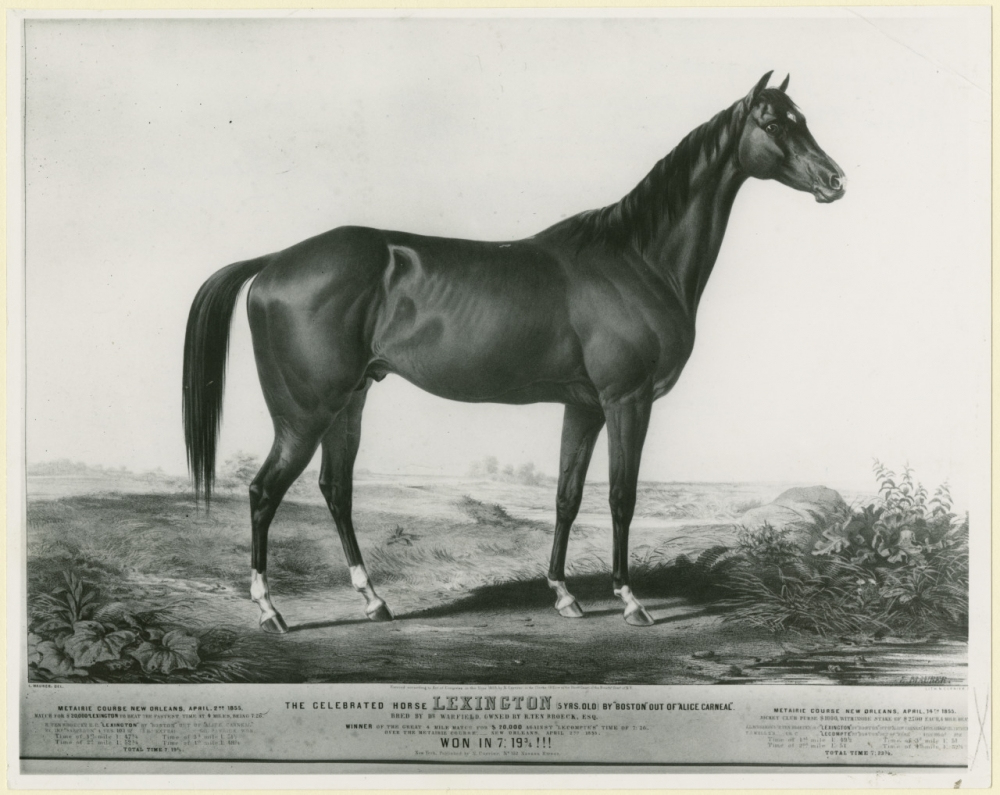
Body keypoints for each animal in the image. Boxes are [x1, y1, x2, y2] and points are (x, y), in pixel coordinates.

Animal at [183, 71, 845, 633]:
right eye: (773, 122)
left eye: (802, 118)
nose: (835, 180)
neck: (635, 258)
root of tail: (275, 262)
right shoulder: (626, 401)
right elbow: (622, 498)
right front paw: (630, 600)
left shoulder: (584, 405)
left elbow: (567, 497)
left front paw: (564, 594)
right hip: (304, 413)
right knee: (264, 492)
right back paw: (270, 611)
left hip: (350, 402)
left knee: (335, 490)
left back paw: (373, 601)